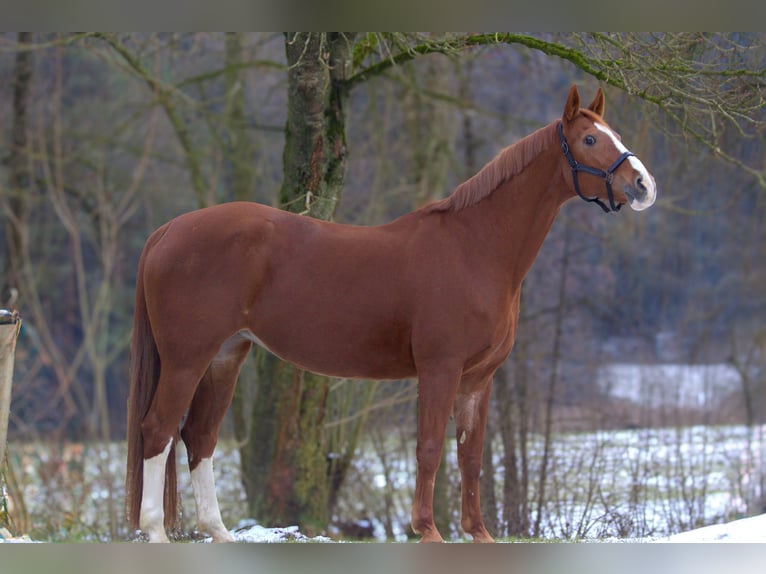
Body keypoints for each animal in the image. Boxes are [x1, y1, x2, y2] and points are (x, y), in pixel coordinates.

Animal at [127, 85, 660, 544]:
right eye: (589, 139)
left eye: (613, 133)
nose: (643, 185)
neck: (475, 247)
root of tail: (168, 230)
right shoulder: (440, 369)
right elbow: (429, 448)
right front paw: (428, 530)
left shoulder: (478, 379)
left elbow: (471, 456)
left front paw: (478, 533)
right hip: (186, 359)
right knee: (158, 430)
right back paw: (155, 531)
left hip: (225, 356)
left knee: (199, 435)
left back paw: (217, 533)